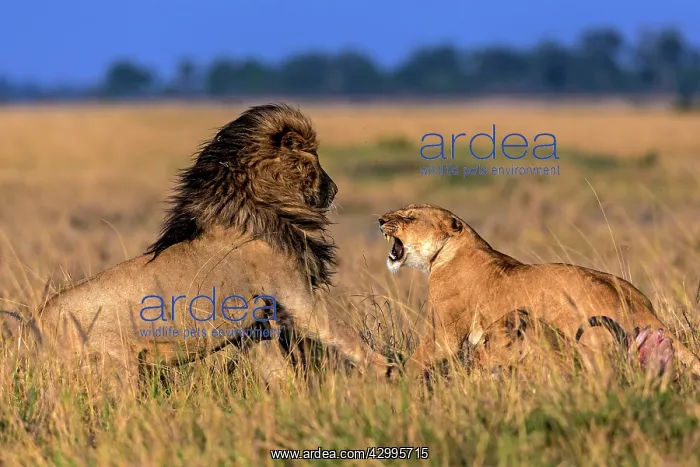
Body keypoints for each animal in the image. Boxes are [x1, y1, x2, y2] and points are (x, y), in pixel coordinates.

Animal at [1, 103, 391, 388]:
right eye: (315, 162)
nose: (334, 189)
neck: (260, 204)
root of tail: (34, 330)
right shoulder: (294, 295)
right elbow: (340, 331)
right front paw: (384, 367)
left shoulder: (253, 326)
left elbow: (278, 372)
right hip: (117, 370)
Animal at [378, 203, 697, 379]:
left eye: (409, 217)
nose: (380, 220)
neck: (446, 252)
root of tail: (636, 305)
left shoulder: (444, 336)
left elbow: (419, 360)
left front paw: (397, 382)